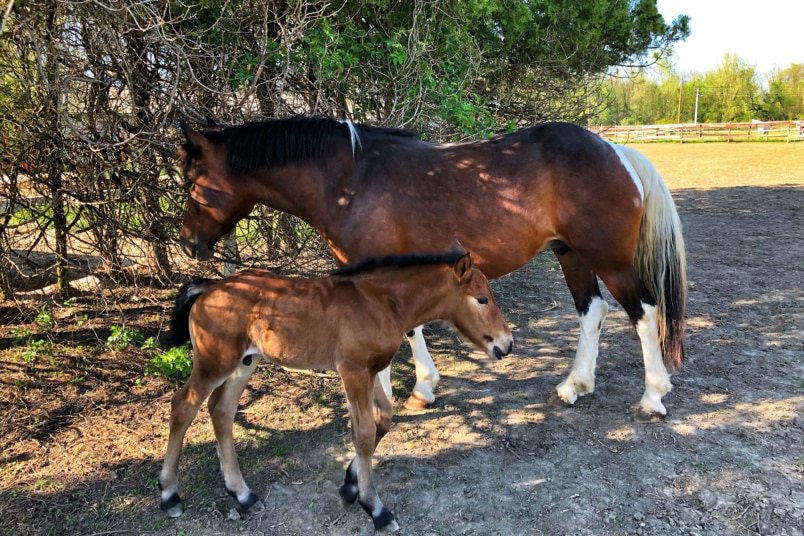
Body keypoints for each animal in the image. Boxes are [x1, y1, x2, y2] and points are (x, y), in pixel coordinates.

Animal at [157, 247, 512, 532]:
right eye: (481, 299)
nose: (506, 344)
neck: (381, 301)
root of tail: (209, 286)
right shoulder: (352, 371)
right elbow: (364, 432)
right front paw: (376, 509)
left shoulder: (371, 370)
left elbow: (383, 419)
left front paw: (350, 487)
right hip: (214, 362)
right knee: (183, 406)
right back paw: (169, 494)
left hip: (245, 362)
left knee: (221, 410)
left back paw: (243, 495)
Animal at [179, 118, 688, 422]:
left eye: (189, 180)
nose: (188, 243)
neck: (349, 180)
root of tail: (615, 149)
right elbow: (410, 328)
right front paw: (424, 389)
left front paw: (384, 403)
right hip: (571, 254)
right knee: (592, 312)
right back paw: (574, 386)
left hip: (608, 260)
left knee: (643, 313)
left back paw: (653, 396)